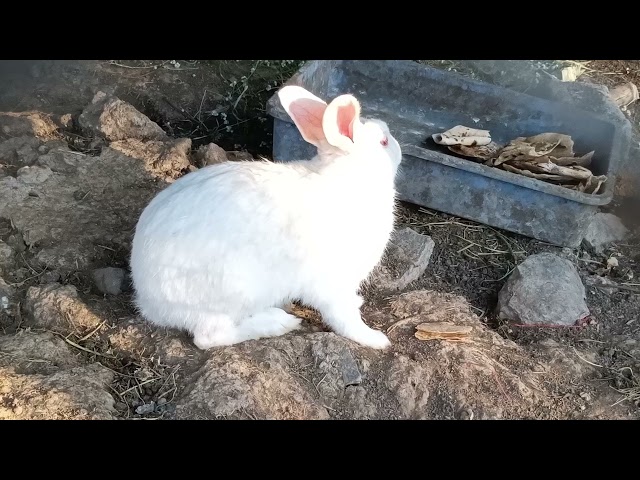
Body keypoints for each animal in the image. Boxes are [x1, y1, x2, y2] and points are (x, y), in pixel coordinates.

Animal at [127, 85, 402, 348]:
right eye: (384, 142)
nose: (399, 147)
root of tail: (148, 301)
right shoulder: (333, 285)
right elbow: (344, 319)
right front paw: (375, 340)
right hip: (231, 295)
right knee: (209, 337)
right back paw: (278, 323)